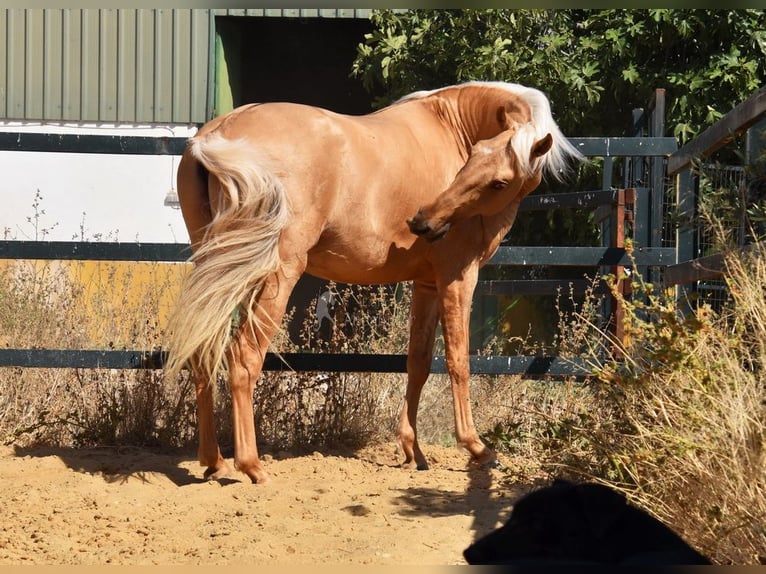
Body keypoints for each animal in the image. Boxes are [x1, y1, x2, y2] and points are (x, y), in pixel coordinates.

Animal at [166, 82, 584, 486]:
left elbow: (418, 362)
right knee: (243, 357)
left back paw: (213, 461)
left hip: (219, 272)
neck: (453, 127)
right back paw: (251, 465)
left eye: (497, 179)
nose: (423, 221)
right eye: (472, 159)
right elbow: (458, 361)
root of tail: (217, 135)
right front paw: (477, 448)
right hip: (276, 274)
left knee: (203, 354)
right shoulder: (458, 278)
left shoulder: (426, 285)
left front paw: (413, 451)